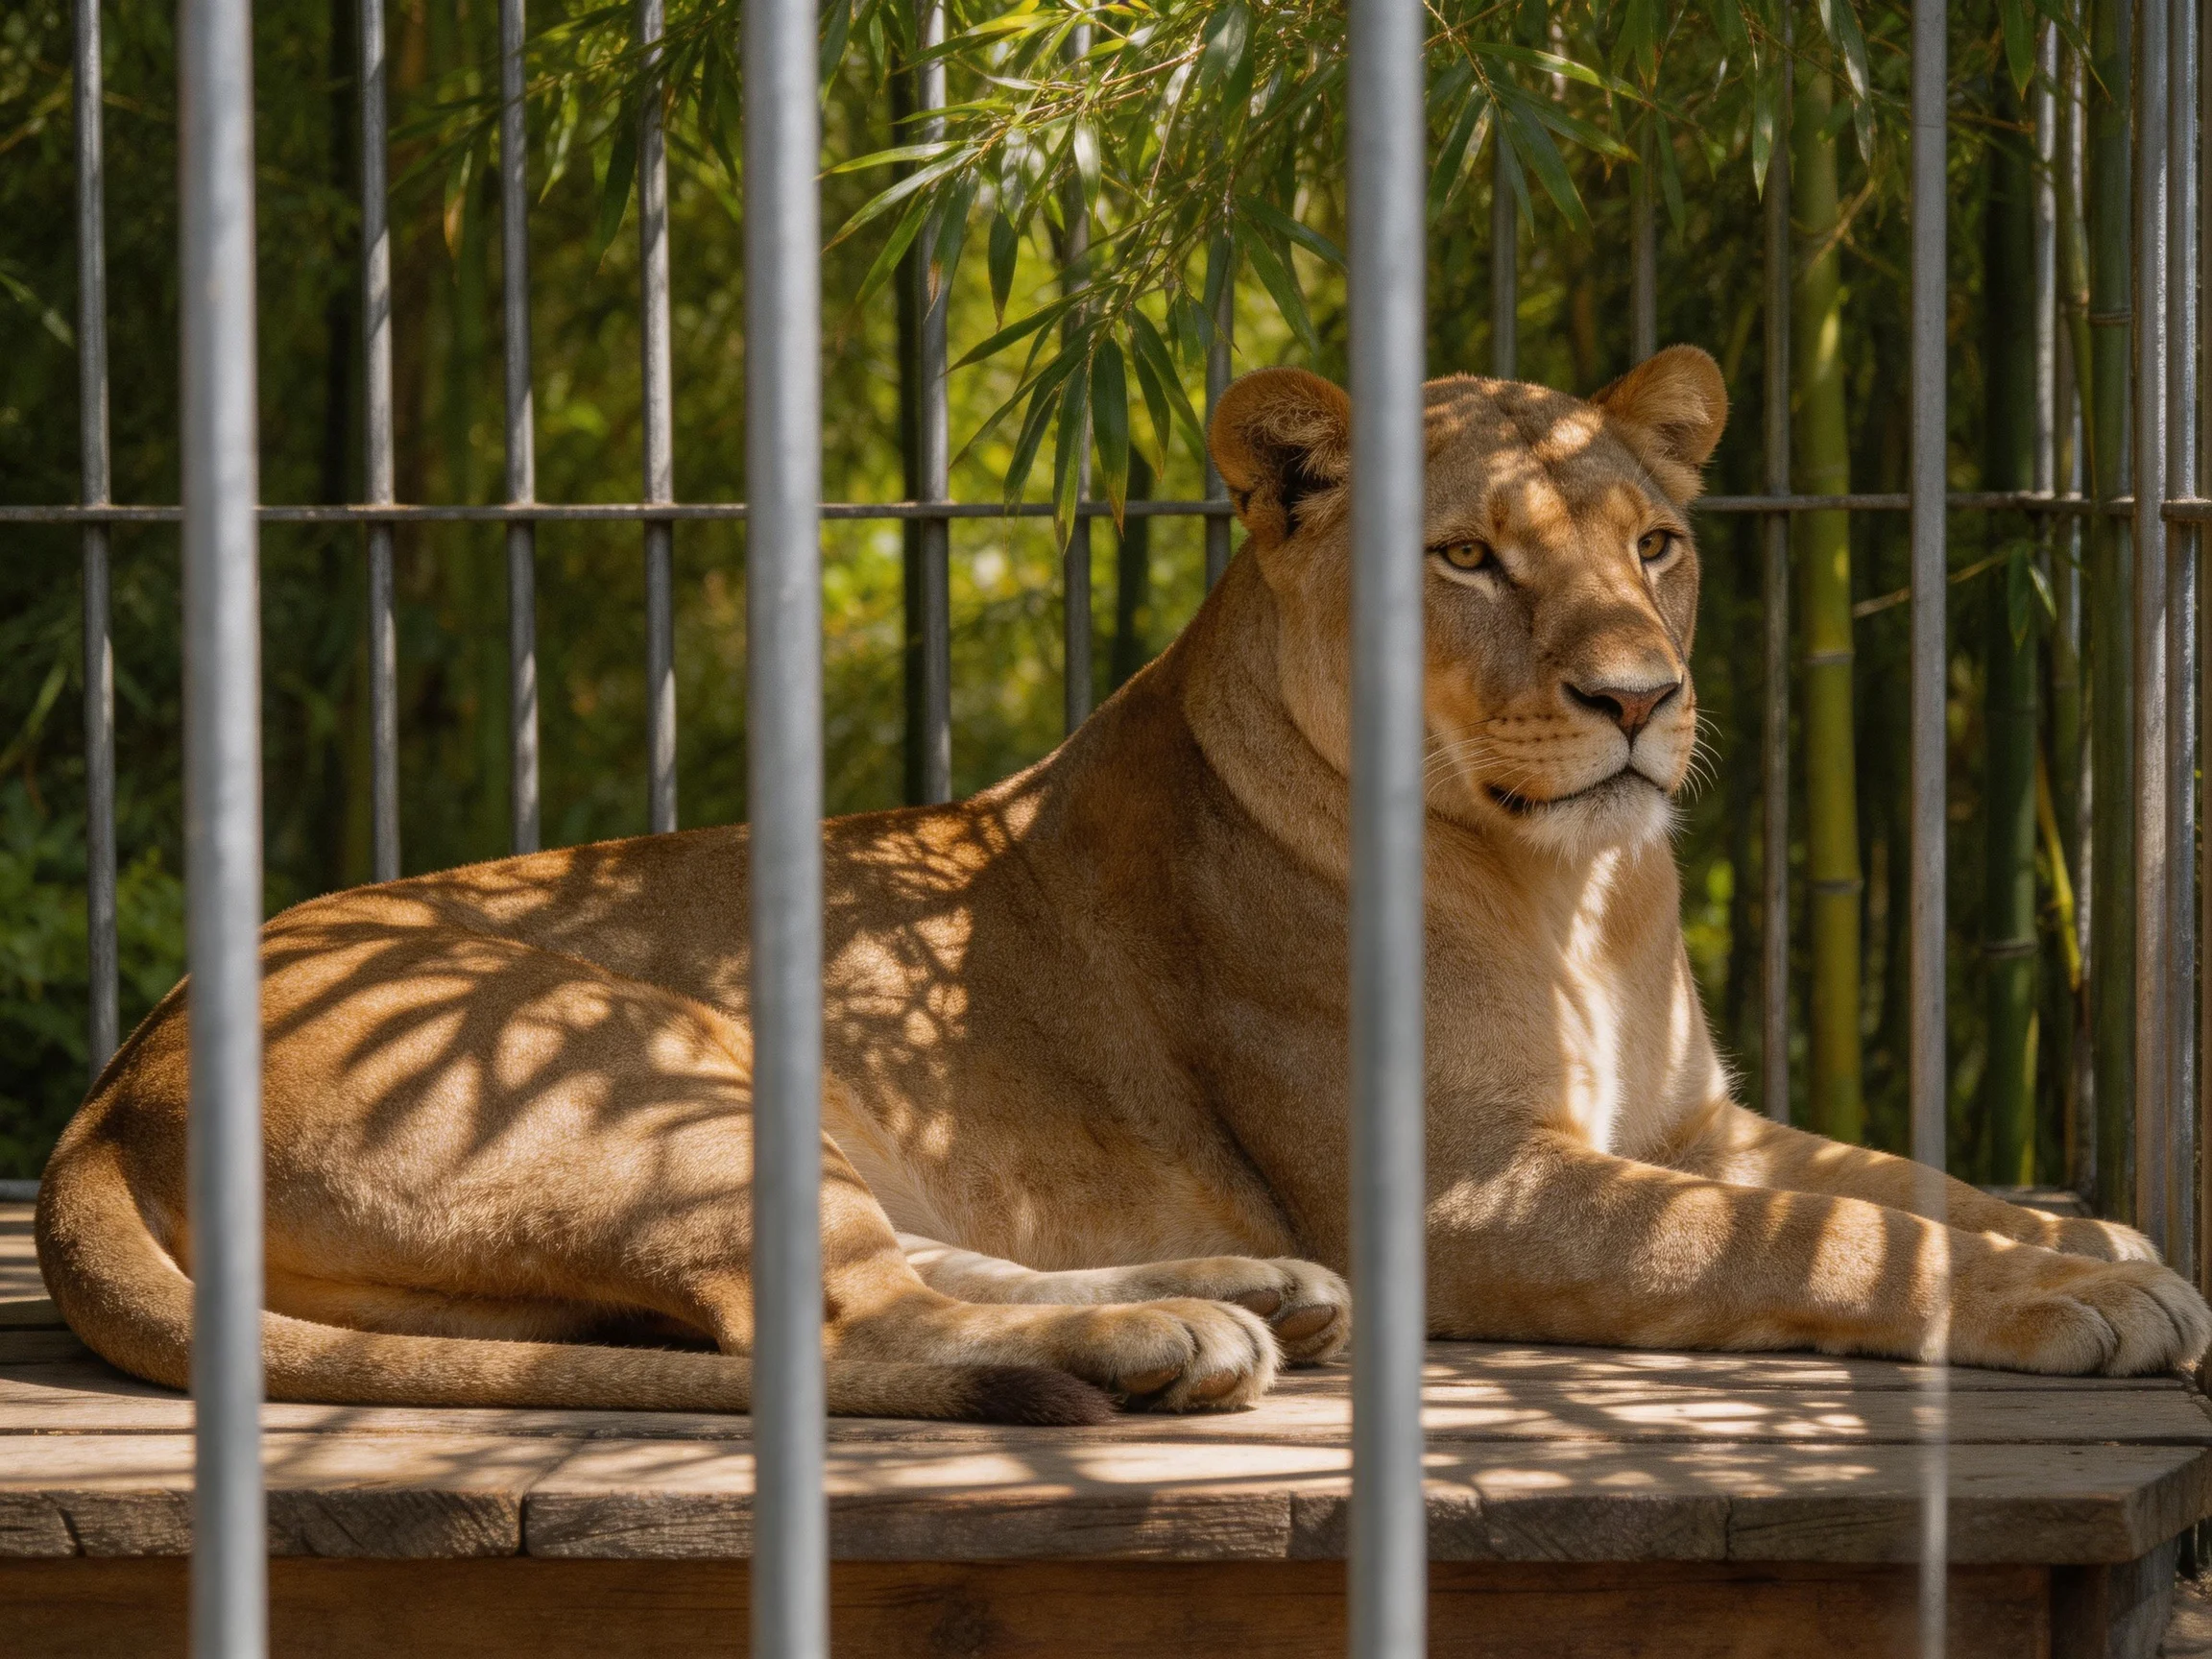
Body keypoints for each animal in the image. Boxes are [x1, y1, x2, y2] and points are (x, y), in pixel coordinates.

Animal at [36, 345, 2209, 1425]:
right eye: (1466, 559)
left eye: (1654, 543)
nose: (1637, 698)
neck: (1577, 899)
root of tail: (111, 1085)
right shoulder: (1470, 1195)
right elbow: (1805, 1239)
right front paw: (2080, 1296)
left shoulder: (1686, 1115)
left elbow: (1884, 1175)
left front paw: (2084, 1230)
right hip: (623, 1059)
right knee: (822, 1325)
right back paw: (1166, 1347)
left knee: (867, 1270)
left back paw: (1244, 1296)